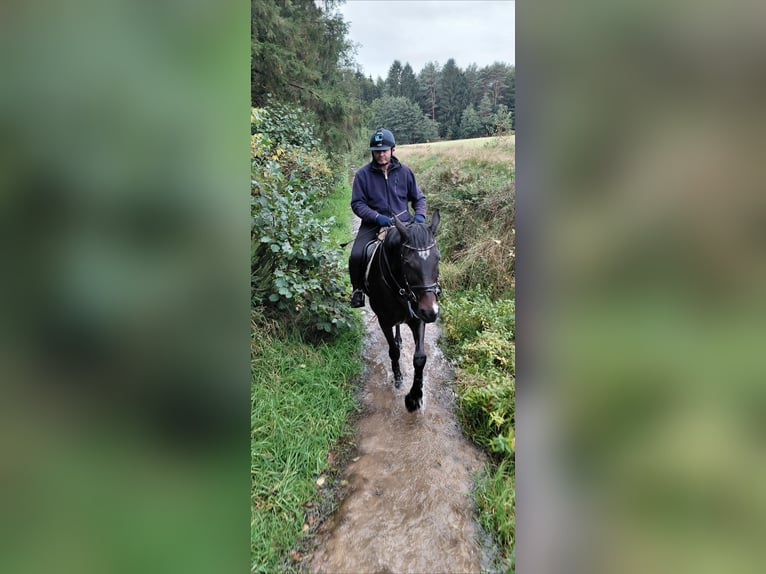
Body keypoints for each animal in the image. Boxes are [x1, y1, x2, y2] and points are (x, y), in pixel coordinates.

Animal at [364, 210, 442, 412]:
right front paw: (398, 378)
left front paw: (415, 397)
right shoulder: (384, 321)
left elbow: (420, 358)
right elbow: (393, 353)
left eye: (438, 258)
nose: (431, 311)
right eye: (407, 262)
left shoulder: (418, 318)